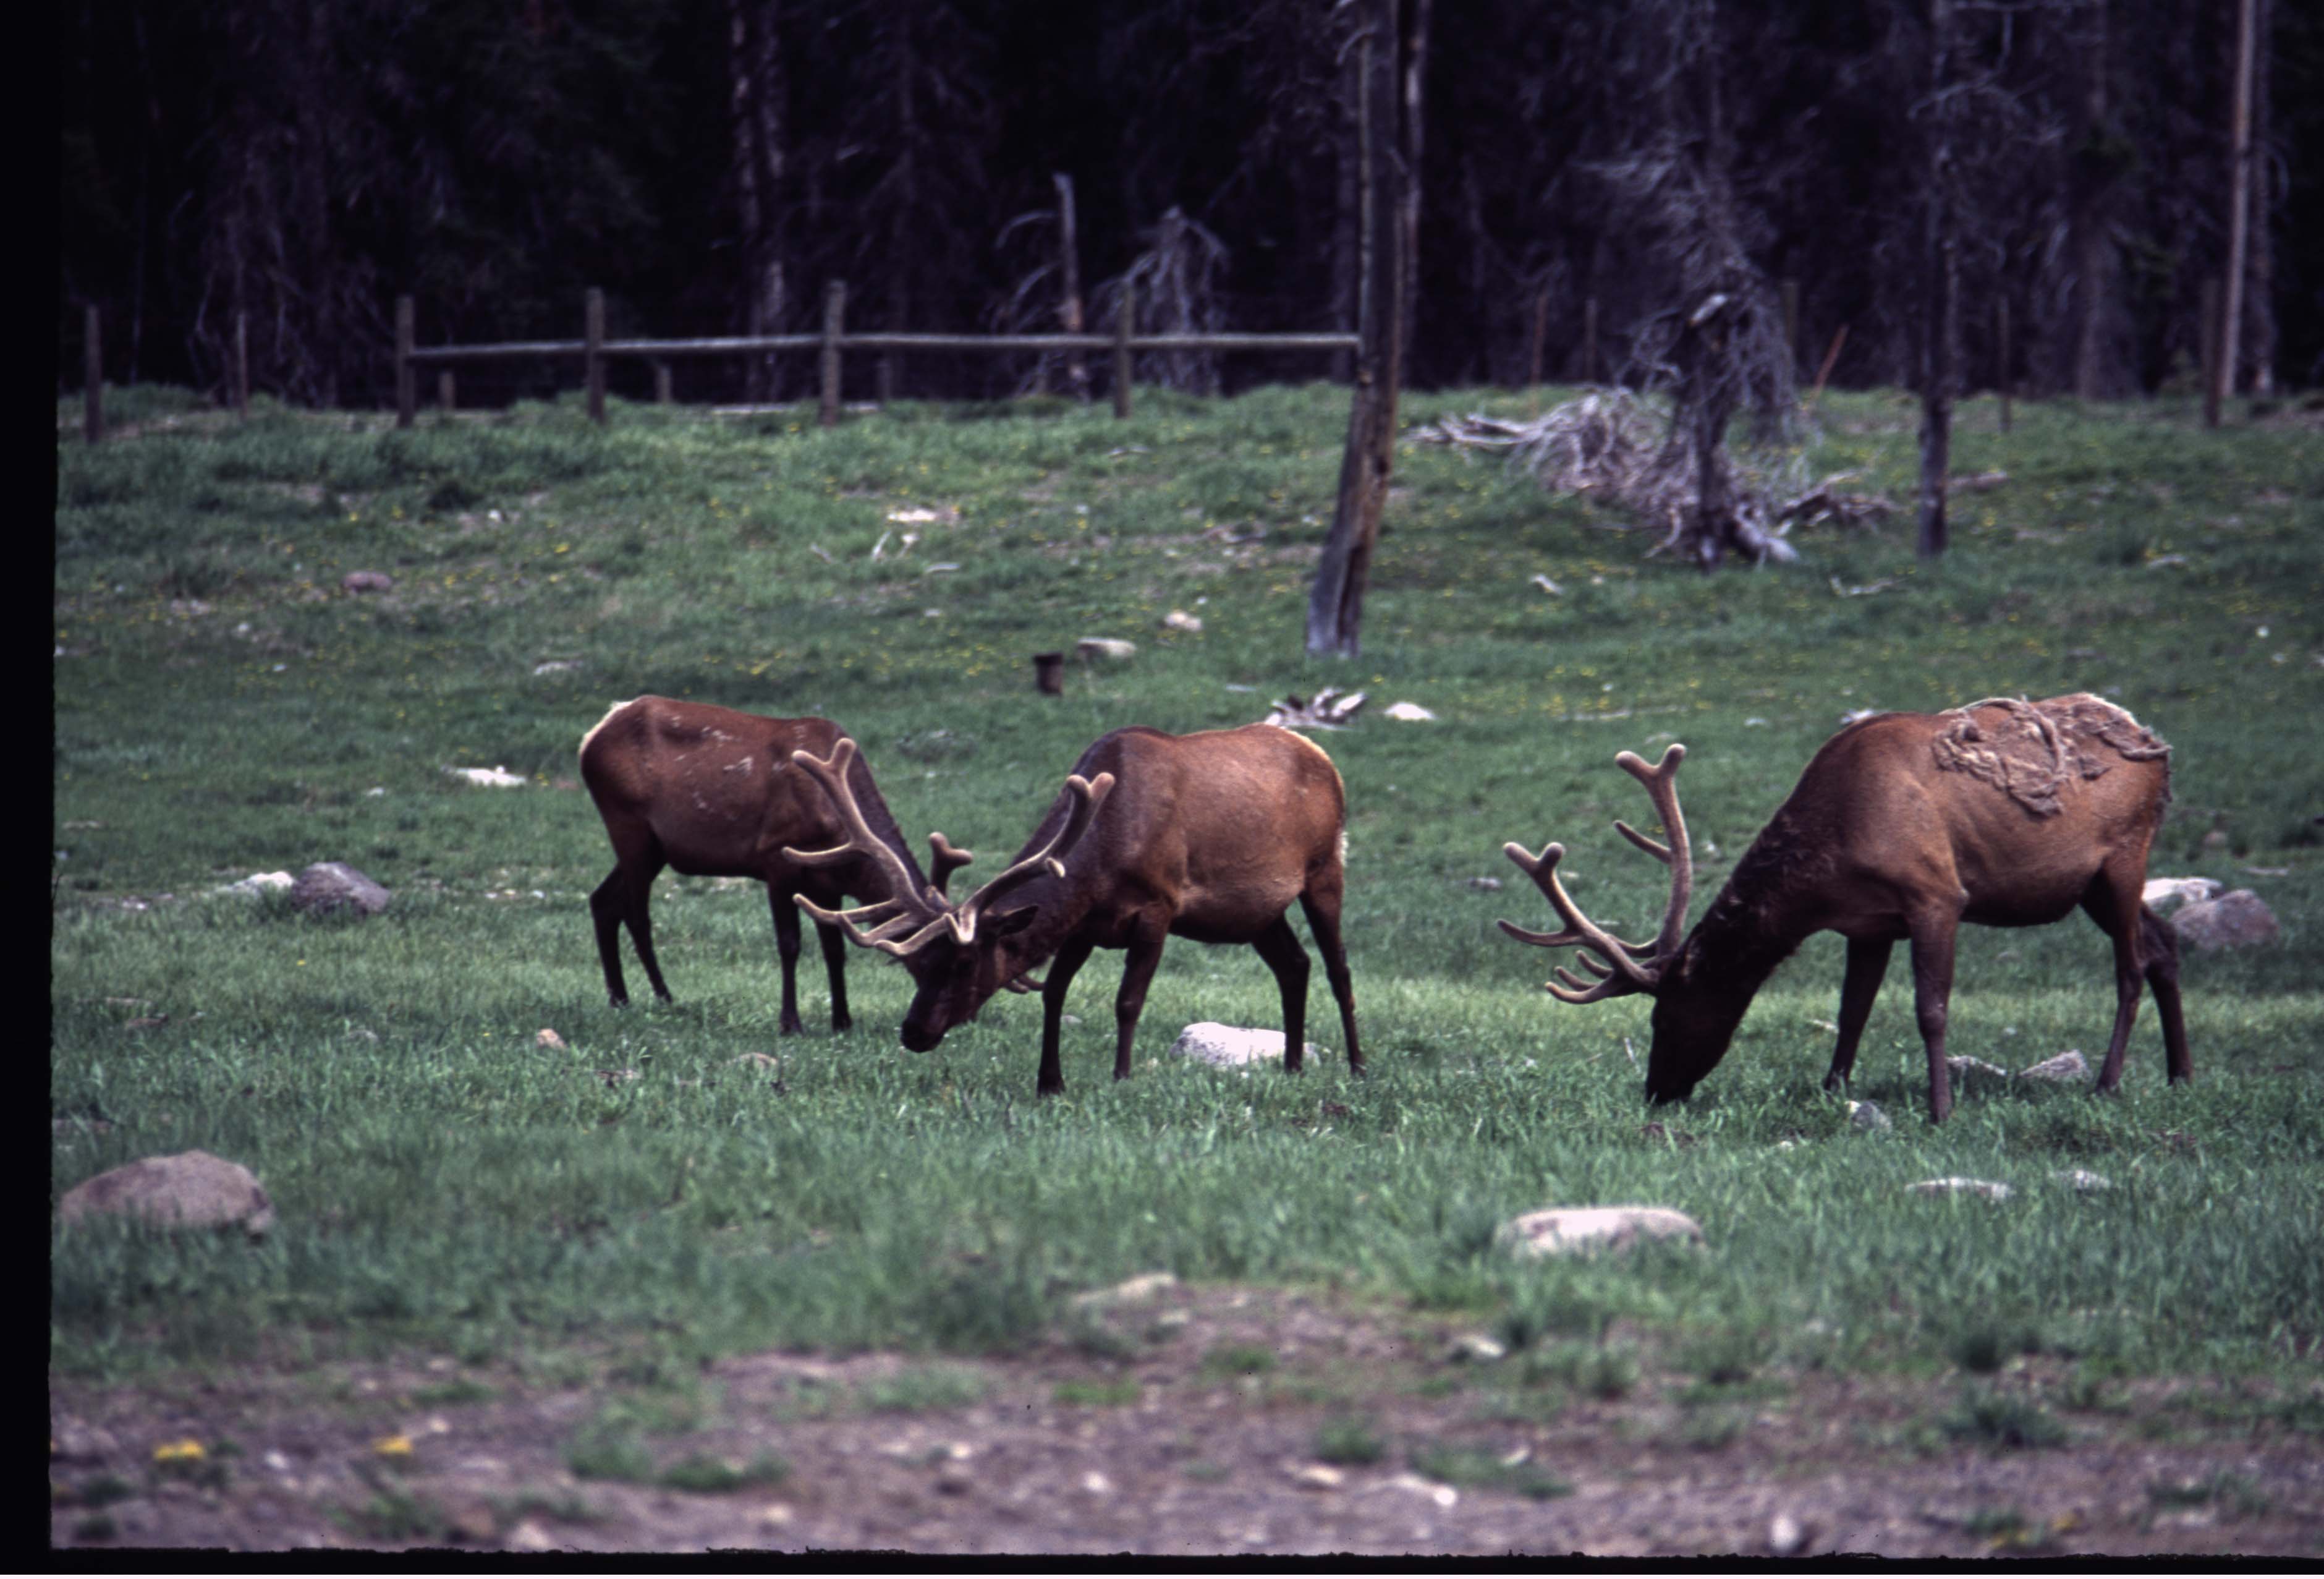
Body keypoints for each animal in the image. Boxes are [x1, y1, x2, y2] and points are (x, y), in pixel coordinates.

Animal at [578, 696, 966, 1033]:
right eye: (935, 958)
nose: (962, 1017)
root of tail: (591, 737)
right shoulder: (776, 860)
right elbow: (789, 944)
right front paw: (790, 1024)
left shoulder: (828, 884)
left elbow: (835, 950)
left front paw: (842, 1021)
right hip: (627, 823)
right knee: (637, 915)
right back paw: (664, 997)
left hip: (655, 848)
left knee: (604, 900)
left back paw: (619, 999)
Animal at [782, 724, 1363, 1097]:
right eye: (917, 964)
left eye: (966, 963)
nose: (913, 1032)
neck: (1102, 854)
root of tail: (1324, 757)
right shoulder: (1085, 924)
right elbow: (1054, 993)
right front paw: (1050, 1082)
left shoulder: (1158, 906)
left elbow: (1128, 1001)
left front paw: (1121, 1077)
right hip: (1258, 912)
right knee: (1294, 965)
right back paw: (1292, 1067)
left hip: (1325, 868)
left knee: (1338, 968)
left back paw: (1358, 1068)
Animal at [1497, 695, 2189, 1123]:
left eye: (1663, 1018)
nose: (1655, 1092)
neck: (1830, 865)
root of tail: (2156, 746)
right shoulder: (1868, 923)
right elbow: (1850, 1011)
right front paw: (1833, 1092)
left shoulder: (1936, 895)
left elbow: (1930, 1010)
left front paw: (1940, 1111)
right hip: (2090, 887)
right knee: (2164, 943)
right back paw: (2180, 1076)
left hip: (2123, 858)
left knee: (2129, 966)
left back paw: (2108, 1083)